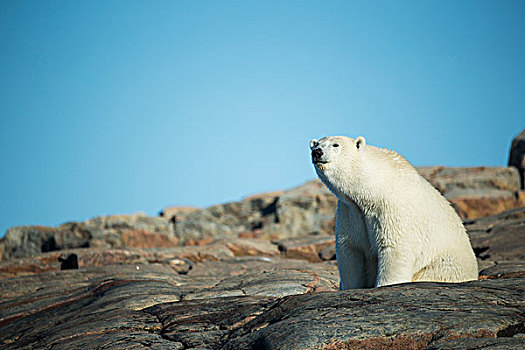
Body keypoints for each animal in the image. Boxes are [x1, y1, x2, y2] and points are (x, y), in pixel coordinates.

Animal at [310, 135, 476, 288]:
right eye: (316, 144)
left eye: (335, 145)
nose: (317, 152)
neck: (375, 187)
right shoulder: (350, 212)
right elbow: (351, 249)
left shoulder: (391, 207)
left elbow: (394, 247)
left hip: (445, 265)